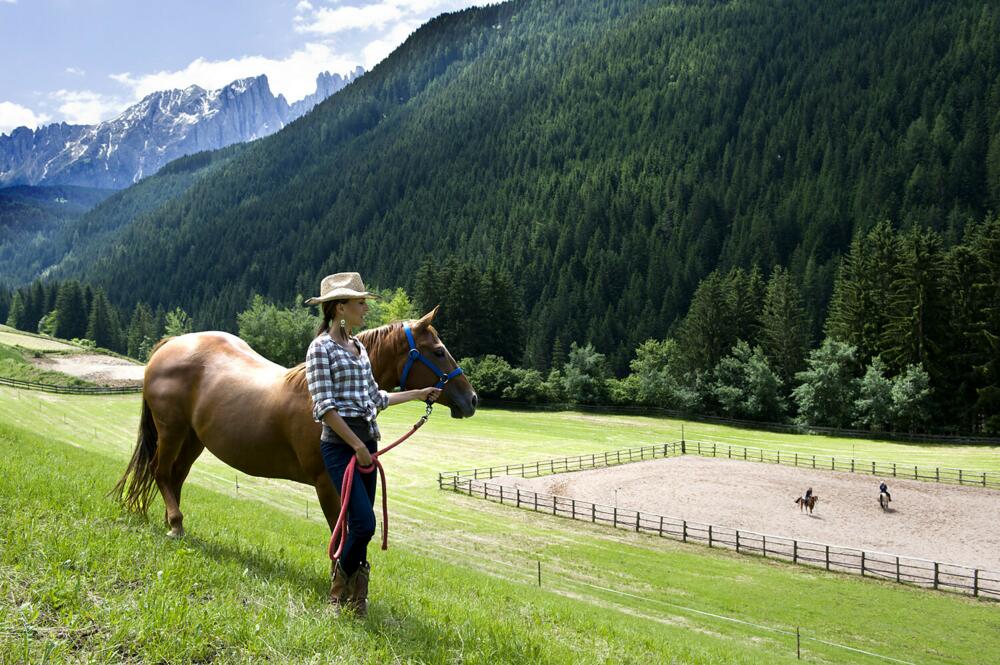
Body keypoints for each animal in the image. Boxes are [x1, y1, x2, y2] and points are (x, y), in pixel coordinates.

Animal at [113, 307, 477, 539]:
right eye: (439, 351)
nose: (472, 399)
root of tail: (169, 346)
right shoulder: (328, 484)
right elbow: (339, 533)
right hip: (171, 432)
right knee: (161, 471)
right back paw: (175, 524)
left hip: (193, 440)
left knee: (175, 476)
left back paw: (172, 521)